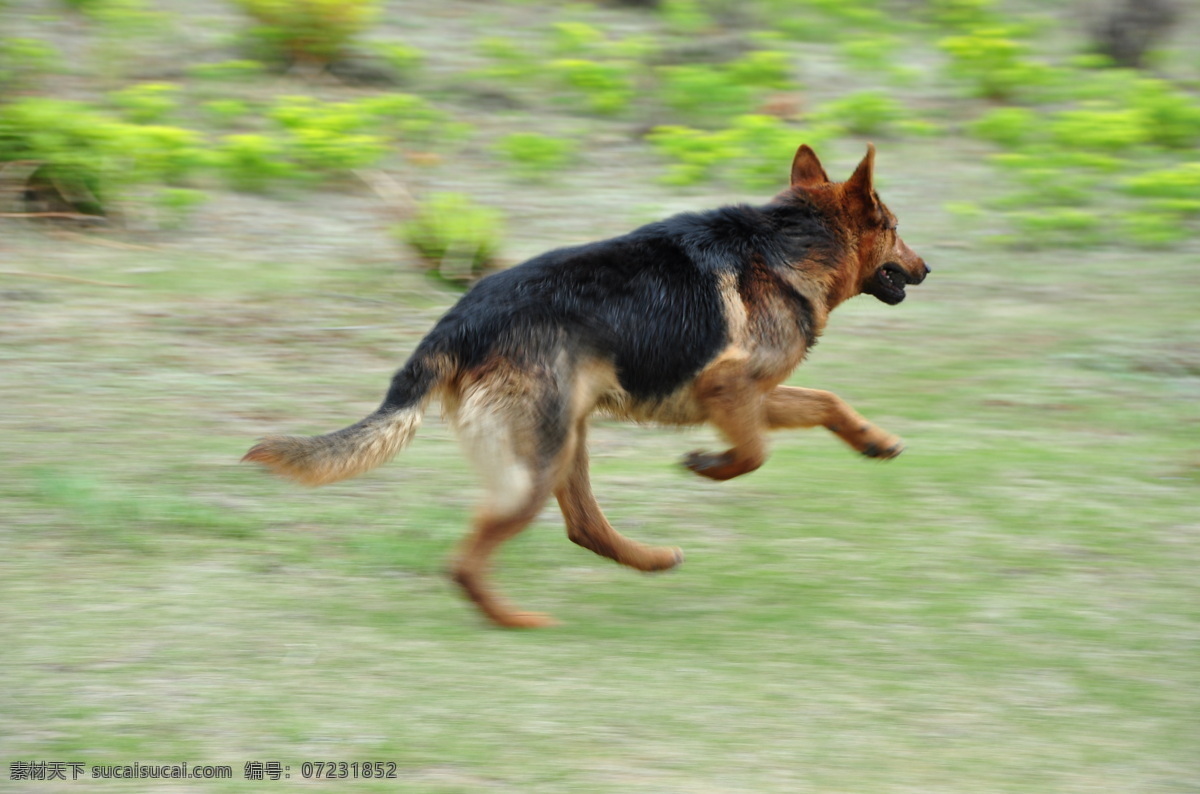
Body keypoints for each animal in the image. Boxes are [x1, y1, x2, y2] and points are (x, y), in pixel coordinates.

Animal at [243, 143, 926, 628]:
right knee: (471, 557)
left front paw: (874, 441)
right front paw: (710, 465)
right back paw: (515, 621)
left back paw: (648, 560)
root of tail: (456, 326)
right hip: (541, 457)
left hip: (566, 436)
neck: (790, 243)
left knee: (583, 528)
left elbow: (826, 402)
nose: (927, 268)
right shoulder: (726, 387)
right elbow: (755, 453)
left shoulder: (752, 393)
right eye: (893, 226)